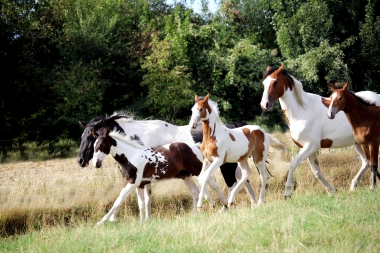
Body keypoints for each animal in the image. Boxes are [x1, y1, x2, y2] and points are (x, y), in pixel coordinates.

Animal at [93, 122, 226, 225]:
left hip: (197, 170)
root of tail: (196, 146)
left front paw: (101, 222)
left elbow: (118, 200)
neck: (131, 156)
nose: (96, 164)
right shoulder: (140, 184)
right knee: (195, 191)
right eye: (94, 145)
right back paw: (196, 214)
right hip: (185, 176)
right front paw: (142, 221)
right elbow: (141, 203)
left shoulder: (132, 183)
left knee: (212, 184)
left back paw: (223, 206)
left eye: (101, 144)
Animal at [260, 63, 380, 198]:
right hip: (359, 143)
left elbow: (293, 164)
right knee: (366, 162)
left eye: (275, 82)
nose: (265, 105)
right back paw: (353, 186)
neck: (302, 110)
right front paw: (331, 190)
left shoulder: (312, 145)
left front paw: (287, 192)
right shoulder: (307, 148)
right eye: (264, 83)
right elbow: (316, 171)